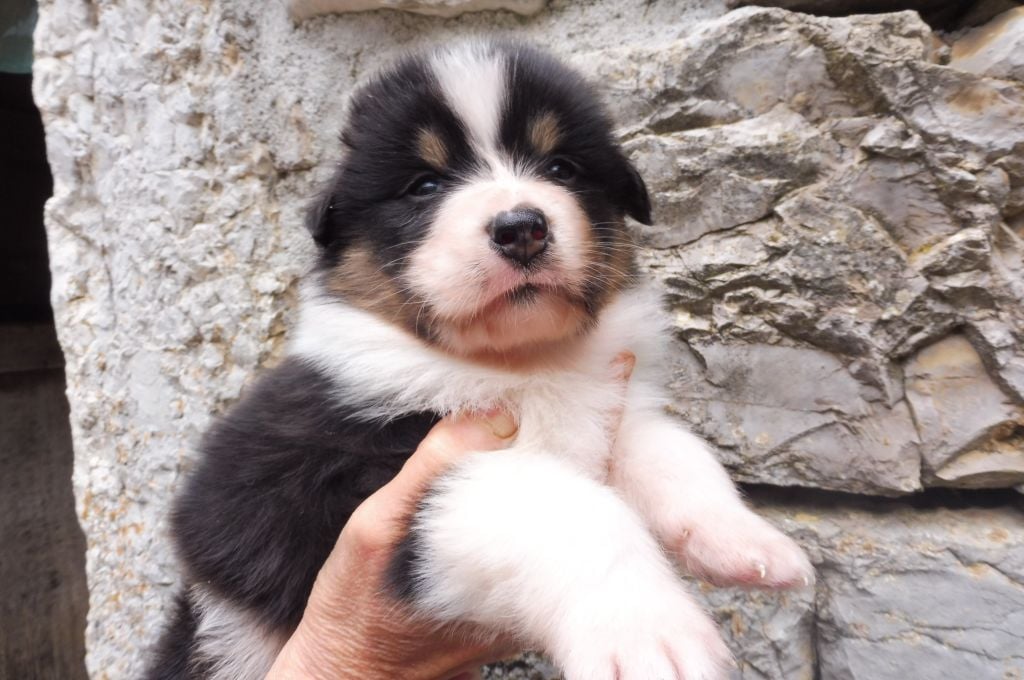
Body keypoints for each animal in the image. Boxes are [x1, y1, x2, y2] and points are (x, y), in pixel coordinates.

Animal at [146, 40, 813, 680]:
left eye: (560, 167)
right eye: (424, 185)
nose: (522, 228)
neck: (521, 365)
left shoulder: (605, 410)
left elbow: (674, 451)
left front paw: (749, 540)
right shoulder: (329, 476)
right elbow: (551, 502)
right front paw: (648, 634)